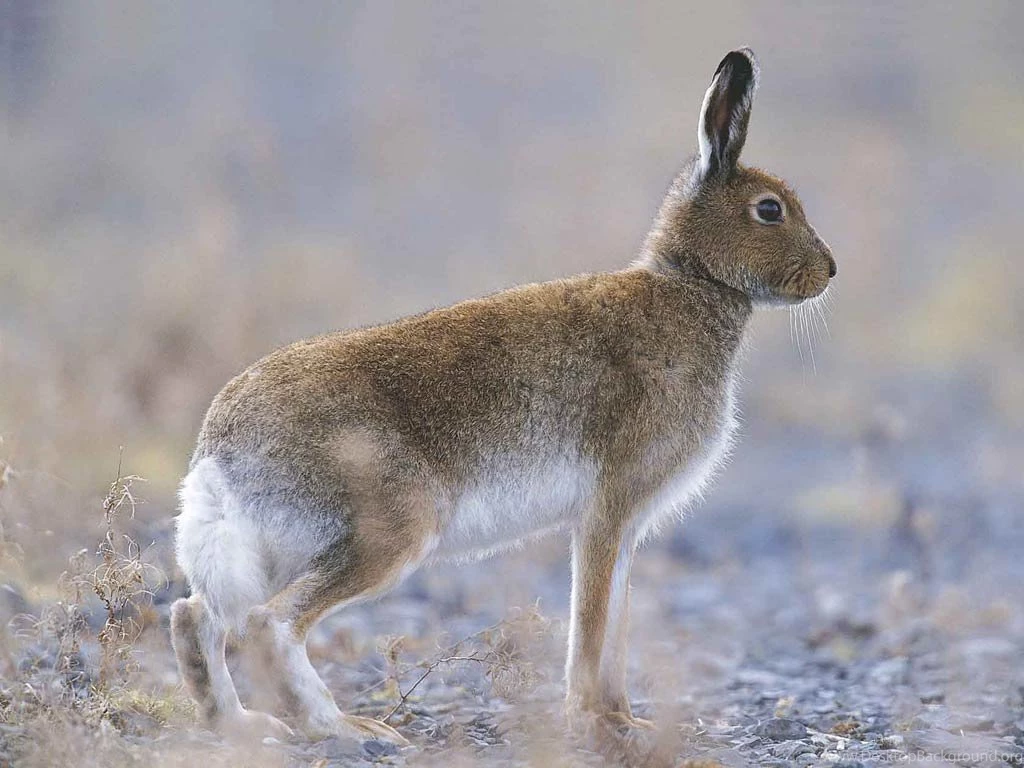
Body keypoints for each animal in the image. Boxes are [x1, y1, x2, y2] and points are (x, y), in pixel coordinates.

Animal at [170, 46, 835, 744]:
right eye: (770, 209)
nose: (829, 270)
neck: (694, 283)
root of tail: (220, 451)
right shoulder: (607, 509)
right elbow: (593, 624)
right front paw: (594, 723)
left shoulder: (624, 525)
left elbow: (616, 625)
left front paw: (627, 719)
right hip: (389, 528)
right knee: (269, 623)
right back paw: (349, 727)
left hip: (268, 548)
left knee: (197, 615)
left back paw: (238, 723)